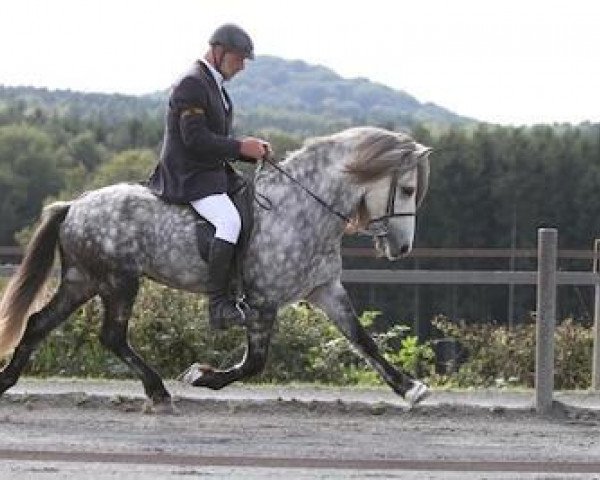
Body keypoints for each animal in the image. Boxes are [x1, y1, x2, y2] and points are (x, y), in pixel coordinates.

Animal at [0, 125, 432, 410]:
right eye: (407, 189)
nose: (402, 248)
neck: (302, 210)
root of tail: (74, 205)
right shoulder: (263, 300)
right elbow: (255, 362)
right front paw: (201, 375)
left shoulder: (325, 289)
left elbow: (362, 339)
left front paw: (410, 388)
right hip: (118, 281)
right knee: (111, 337)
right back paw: (159, 392)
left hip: (84, 280)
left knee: (39, 323)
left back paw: (6, 380)